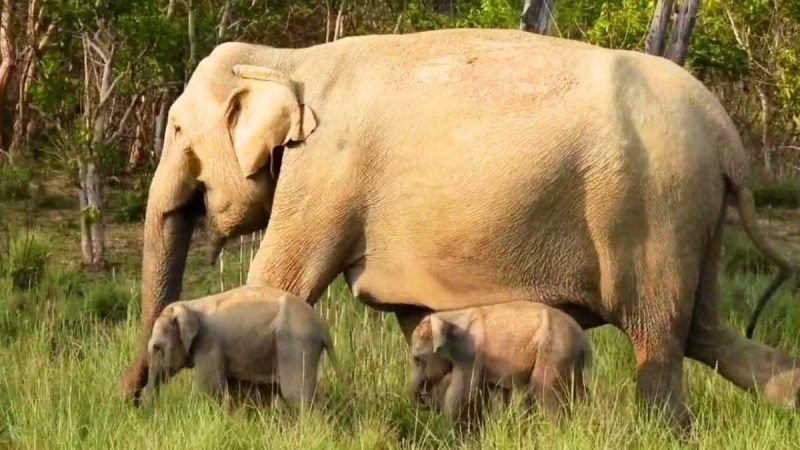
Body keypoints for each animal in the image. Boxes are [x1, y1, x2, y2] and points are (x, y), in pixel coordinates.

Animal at [143, 285, 337, 409]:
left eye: (157, 348)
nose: (150, 410)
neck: (190, 305)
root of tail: (322, 327)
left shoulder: (208, 343)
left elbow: (209, 388)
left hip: (297, 345)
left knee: (296, 394)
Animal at [409, 302, 591, 422]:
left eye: (417, 359)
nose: (426, 404)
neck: (448, 316)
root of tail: (583, 341)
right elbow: (488, 393)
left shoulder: (469, 354)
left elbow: (459, 395)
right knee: (579, 391)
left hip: (553, 351)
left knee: (546, 391)